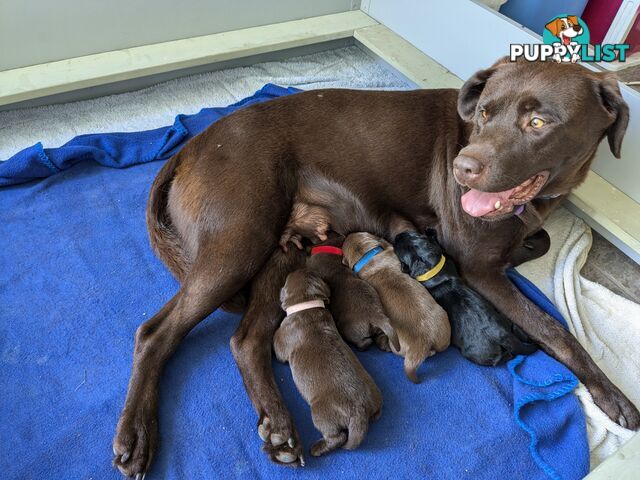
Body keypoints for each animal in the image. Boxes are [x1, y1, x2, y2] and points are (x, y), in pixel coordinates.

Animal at [274, 270, 382, 458]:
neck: (307, 304)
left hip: (320, 413)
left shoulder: (284, 338)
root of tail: (360, 412)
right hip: (375, 398)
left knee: (336, 438)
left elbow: (277, 345)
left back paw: (317, 449)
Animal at [396, 231, 536, 366]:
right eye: (414, 235)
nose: (398, 235)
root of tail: (502, 335)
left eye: (400, 251)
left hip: (477, 354)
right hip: (508, 322)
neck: (430, 270)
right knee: (517, 331)